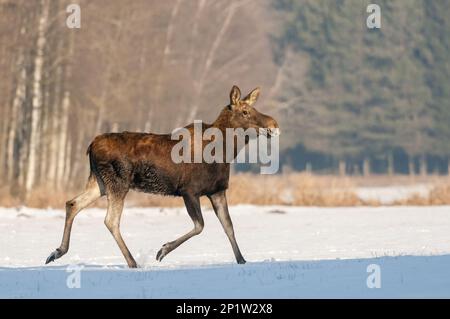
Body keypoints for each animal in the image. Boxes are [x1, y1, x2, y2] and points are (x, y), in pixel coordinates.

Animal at [44, 86, 278, 268]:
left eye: (254, 108)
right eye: (245, 111)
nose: (274, 124)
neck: (226, 151)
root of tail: (91, 146)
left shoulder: (217, 191)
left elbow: (229, 227)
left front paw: (242, 260)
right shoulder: (188, 190)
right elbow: (200, 225)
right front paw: (162, 250)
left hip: (99, 182)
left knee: (72, 203)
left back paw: (57, 252)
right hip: (118, 182)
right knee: (110, 220)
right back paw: (132, 262)